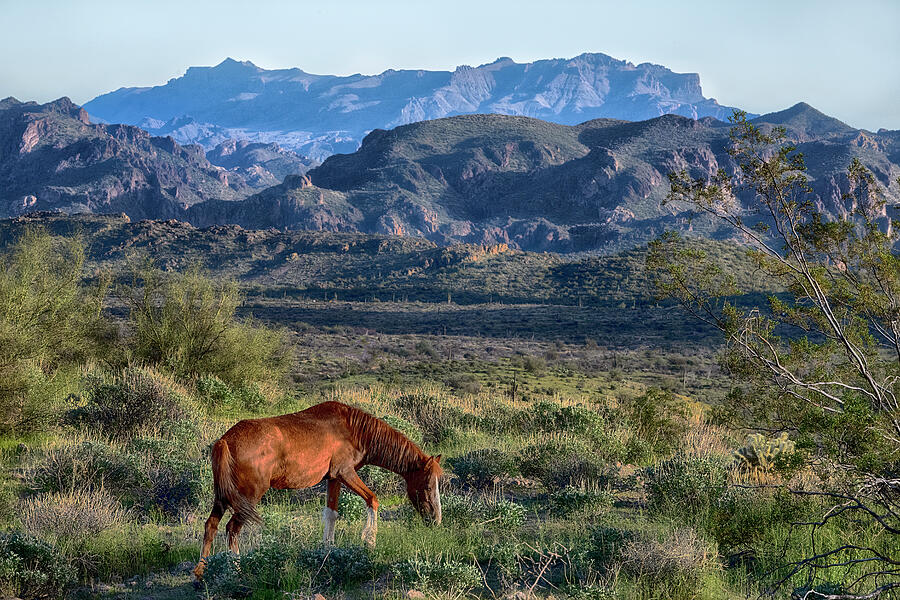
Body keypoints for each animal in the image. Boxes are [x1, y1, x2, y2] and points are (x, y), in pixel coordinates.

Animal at [192, 400, 442, 580]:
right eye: (428, 485)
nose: (436, 519)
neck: (353, 429)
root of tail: (225, 440)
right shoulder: (346, 473)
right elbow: (373, 499)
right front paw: (369, 541)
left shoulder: (334, 478)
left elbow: (331, 514)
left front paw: (327, 550)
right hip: (248, 497)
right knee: (232, 528)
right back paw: (235, 570)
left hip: (223, 497)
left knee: (211, 525)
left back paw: (201, 571)